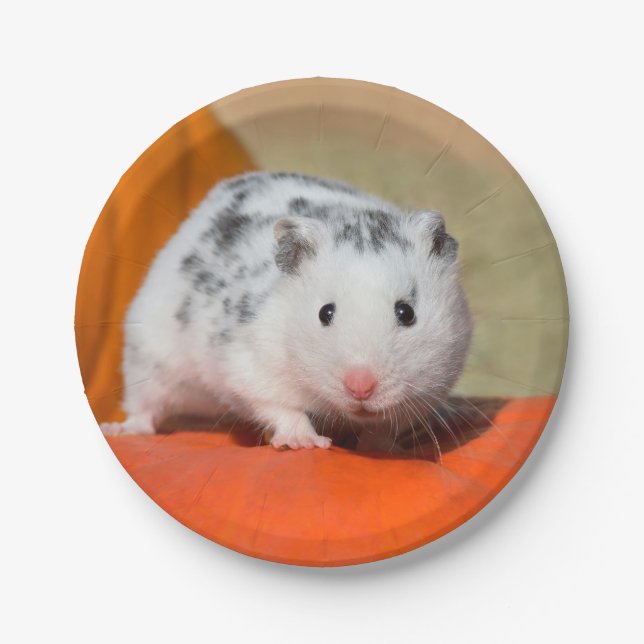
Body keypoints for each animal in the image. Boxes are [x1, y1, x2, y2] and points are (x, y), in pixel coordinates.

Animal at [100, 171, 473, 450]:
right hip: (148, 357)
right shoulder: (249, 366)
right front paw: (305, 442)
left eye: (407, 313)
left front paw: (381, 448)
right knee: (143, 407)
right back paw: (119, 430)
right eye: (325, 313)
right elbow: (281, 407)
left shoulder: (433, 385)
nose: (360, 388)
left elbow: (384, 428)